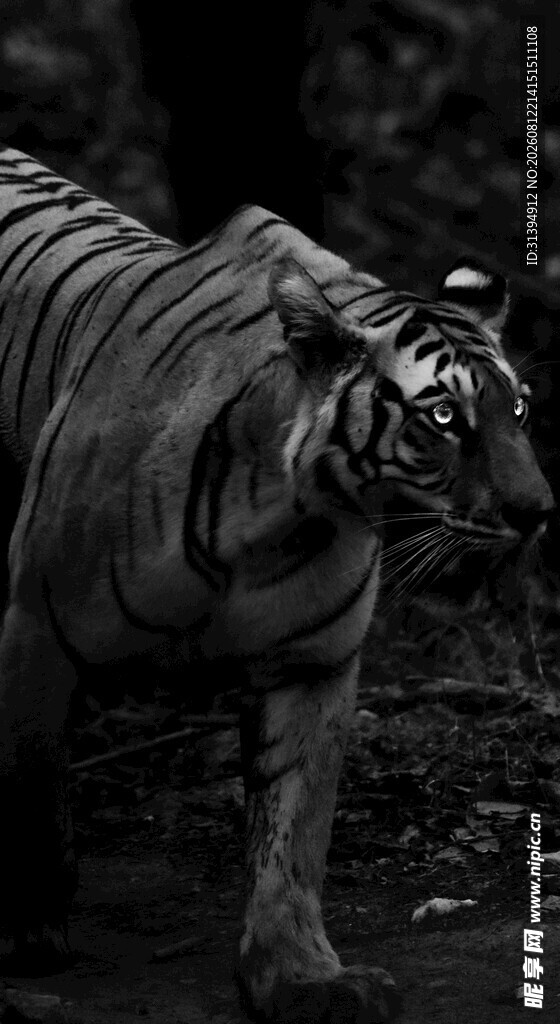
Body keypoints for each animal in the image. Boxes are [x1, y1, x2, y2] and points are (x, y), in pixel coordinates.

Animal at [0, 145, 554, 1024]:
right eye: (443, 418)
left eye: (520, 411)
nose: (539, 511)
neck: (287, 515)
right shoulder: (37, 622)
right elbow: (29, 788)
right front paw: (28, 935)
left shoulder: (312, 663)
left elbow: (293, 836)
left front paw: (301, 979)